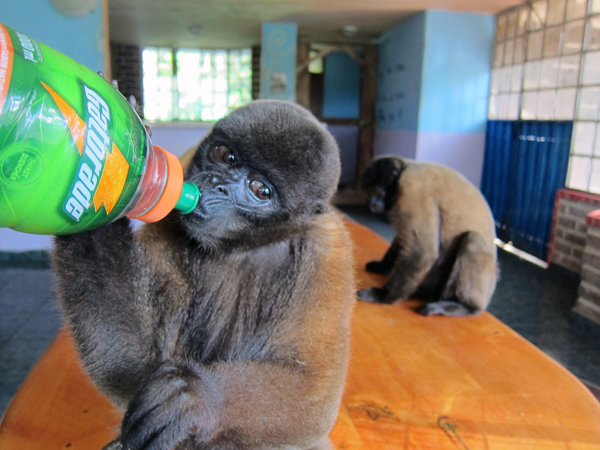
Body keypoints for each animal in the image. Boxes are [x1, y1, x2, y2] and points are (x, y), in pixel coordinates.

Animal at [52, 99, 356, 450]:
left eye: (260, 189)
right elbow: (130, 364)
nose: (216, 184)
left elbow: (316, 392)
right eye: (226, 156)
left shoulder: (328, 251)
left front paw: (199, 398)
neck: (242, 247)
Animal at [356, 156, 496, 318]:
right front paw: (382, 266)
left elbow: (422, 251)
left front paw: (383, 296)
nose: (371, 204)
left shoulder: (411, 189)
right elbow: (403, 238)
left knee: (472, 238)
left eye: (376, 193)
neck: (405, 167)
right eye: (369, 192)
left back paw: (463, 307)